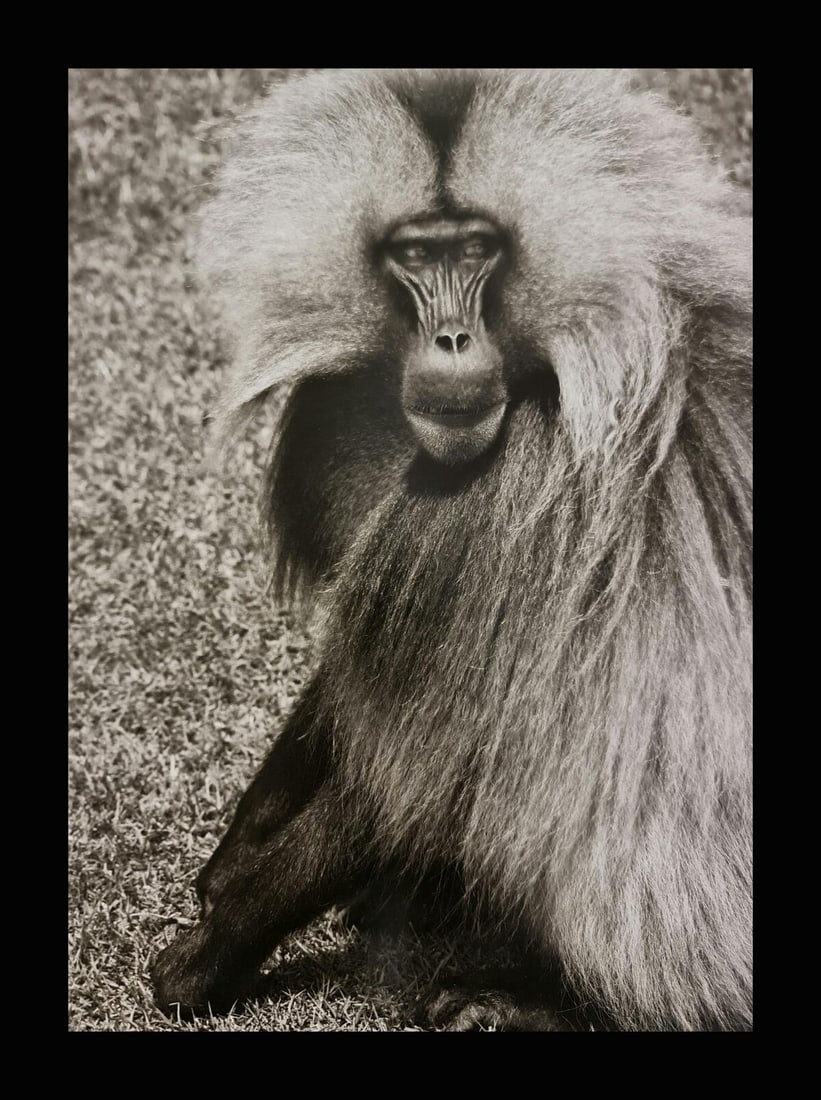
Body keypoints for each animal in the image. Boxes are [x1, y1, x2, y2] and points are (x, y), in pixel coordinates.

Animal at [151, 69, 752, 1031]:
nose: (452, 341)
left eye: (475, 251)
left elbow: (409, 771)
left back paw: (528, 1003)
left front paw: (208, 954)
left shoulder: (495, 511)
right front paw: (231, 860)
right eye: (414, 254)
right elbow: (357, 687)